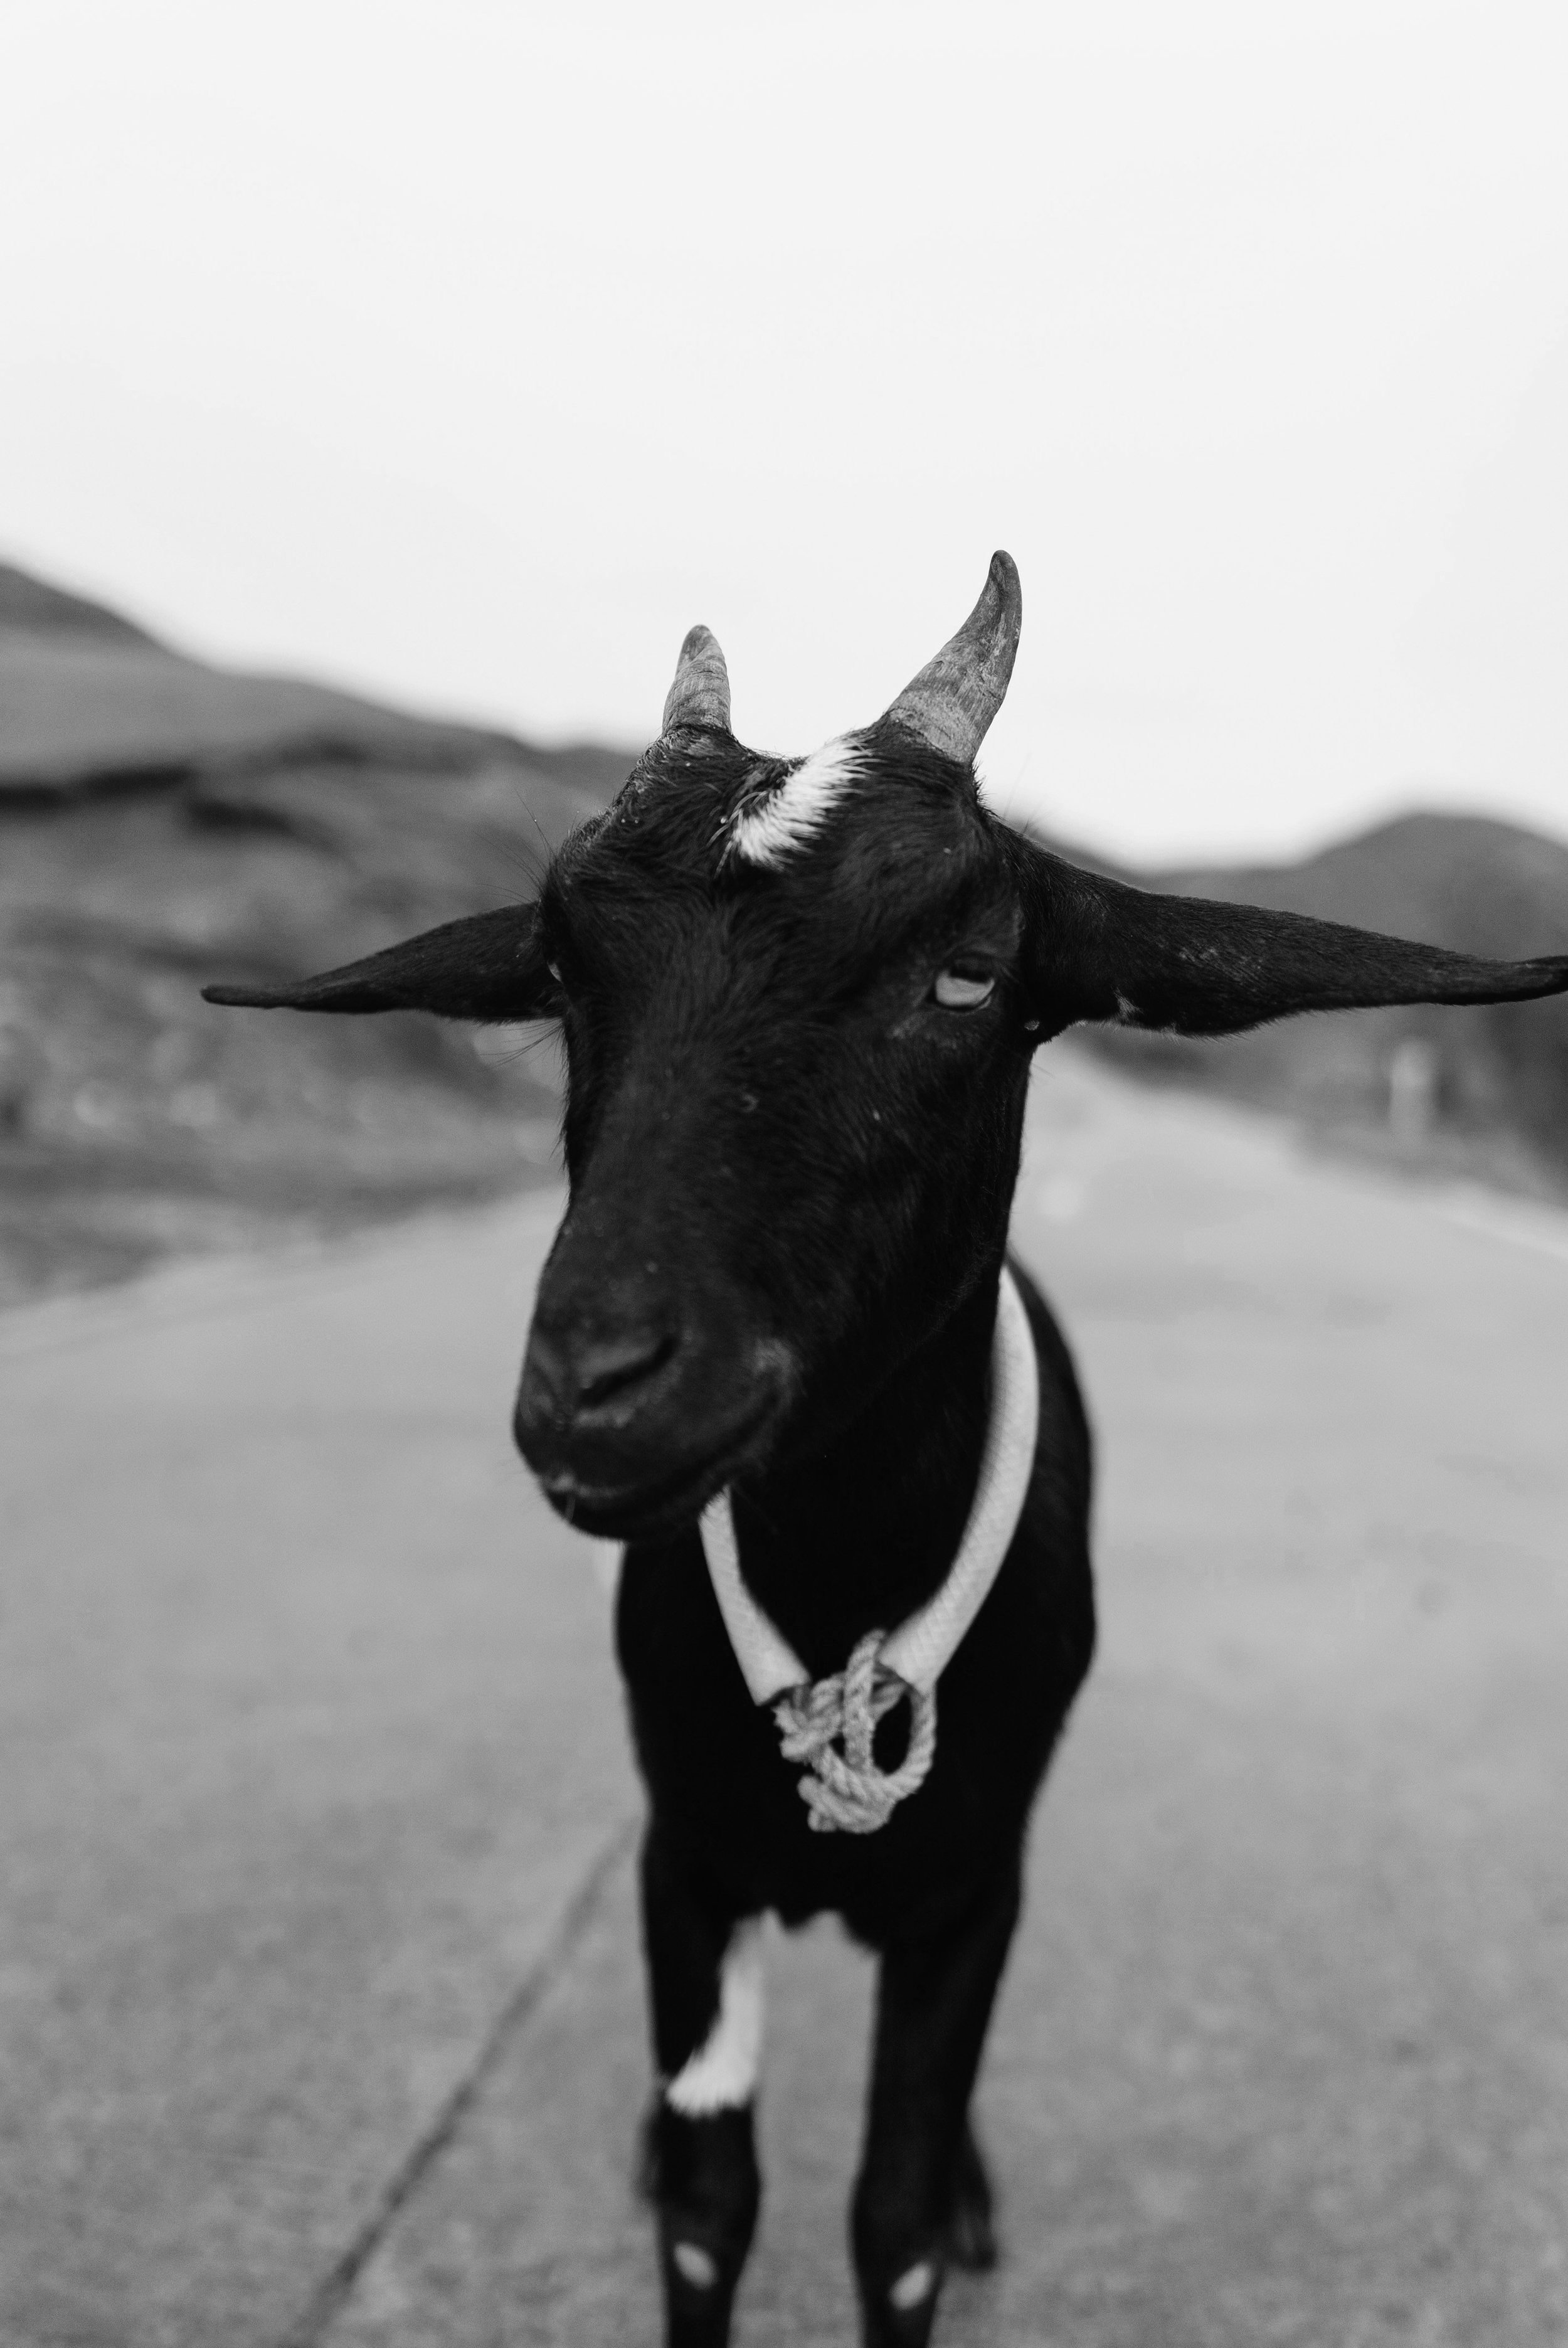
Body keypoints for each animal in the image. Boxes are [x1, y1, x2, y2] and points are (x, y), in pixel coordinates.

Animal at [206, 555, 1568, 2347]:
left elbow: (895, 2212)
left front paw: (945, 2204)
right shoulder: (683, 1861)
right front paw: (678, 2181)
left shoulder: (968, 1893)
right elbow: (711, 2205)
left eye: (971, 969)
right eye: (561, 968)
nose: (598, 1385)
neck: (844, 1576)